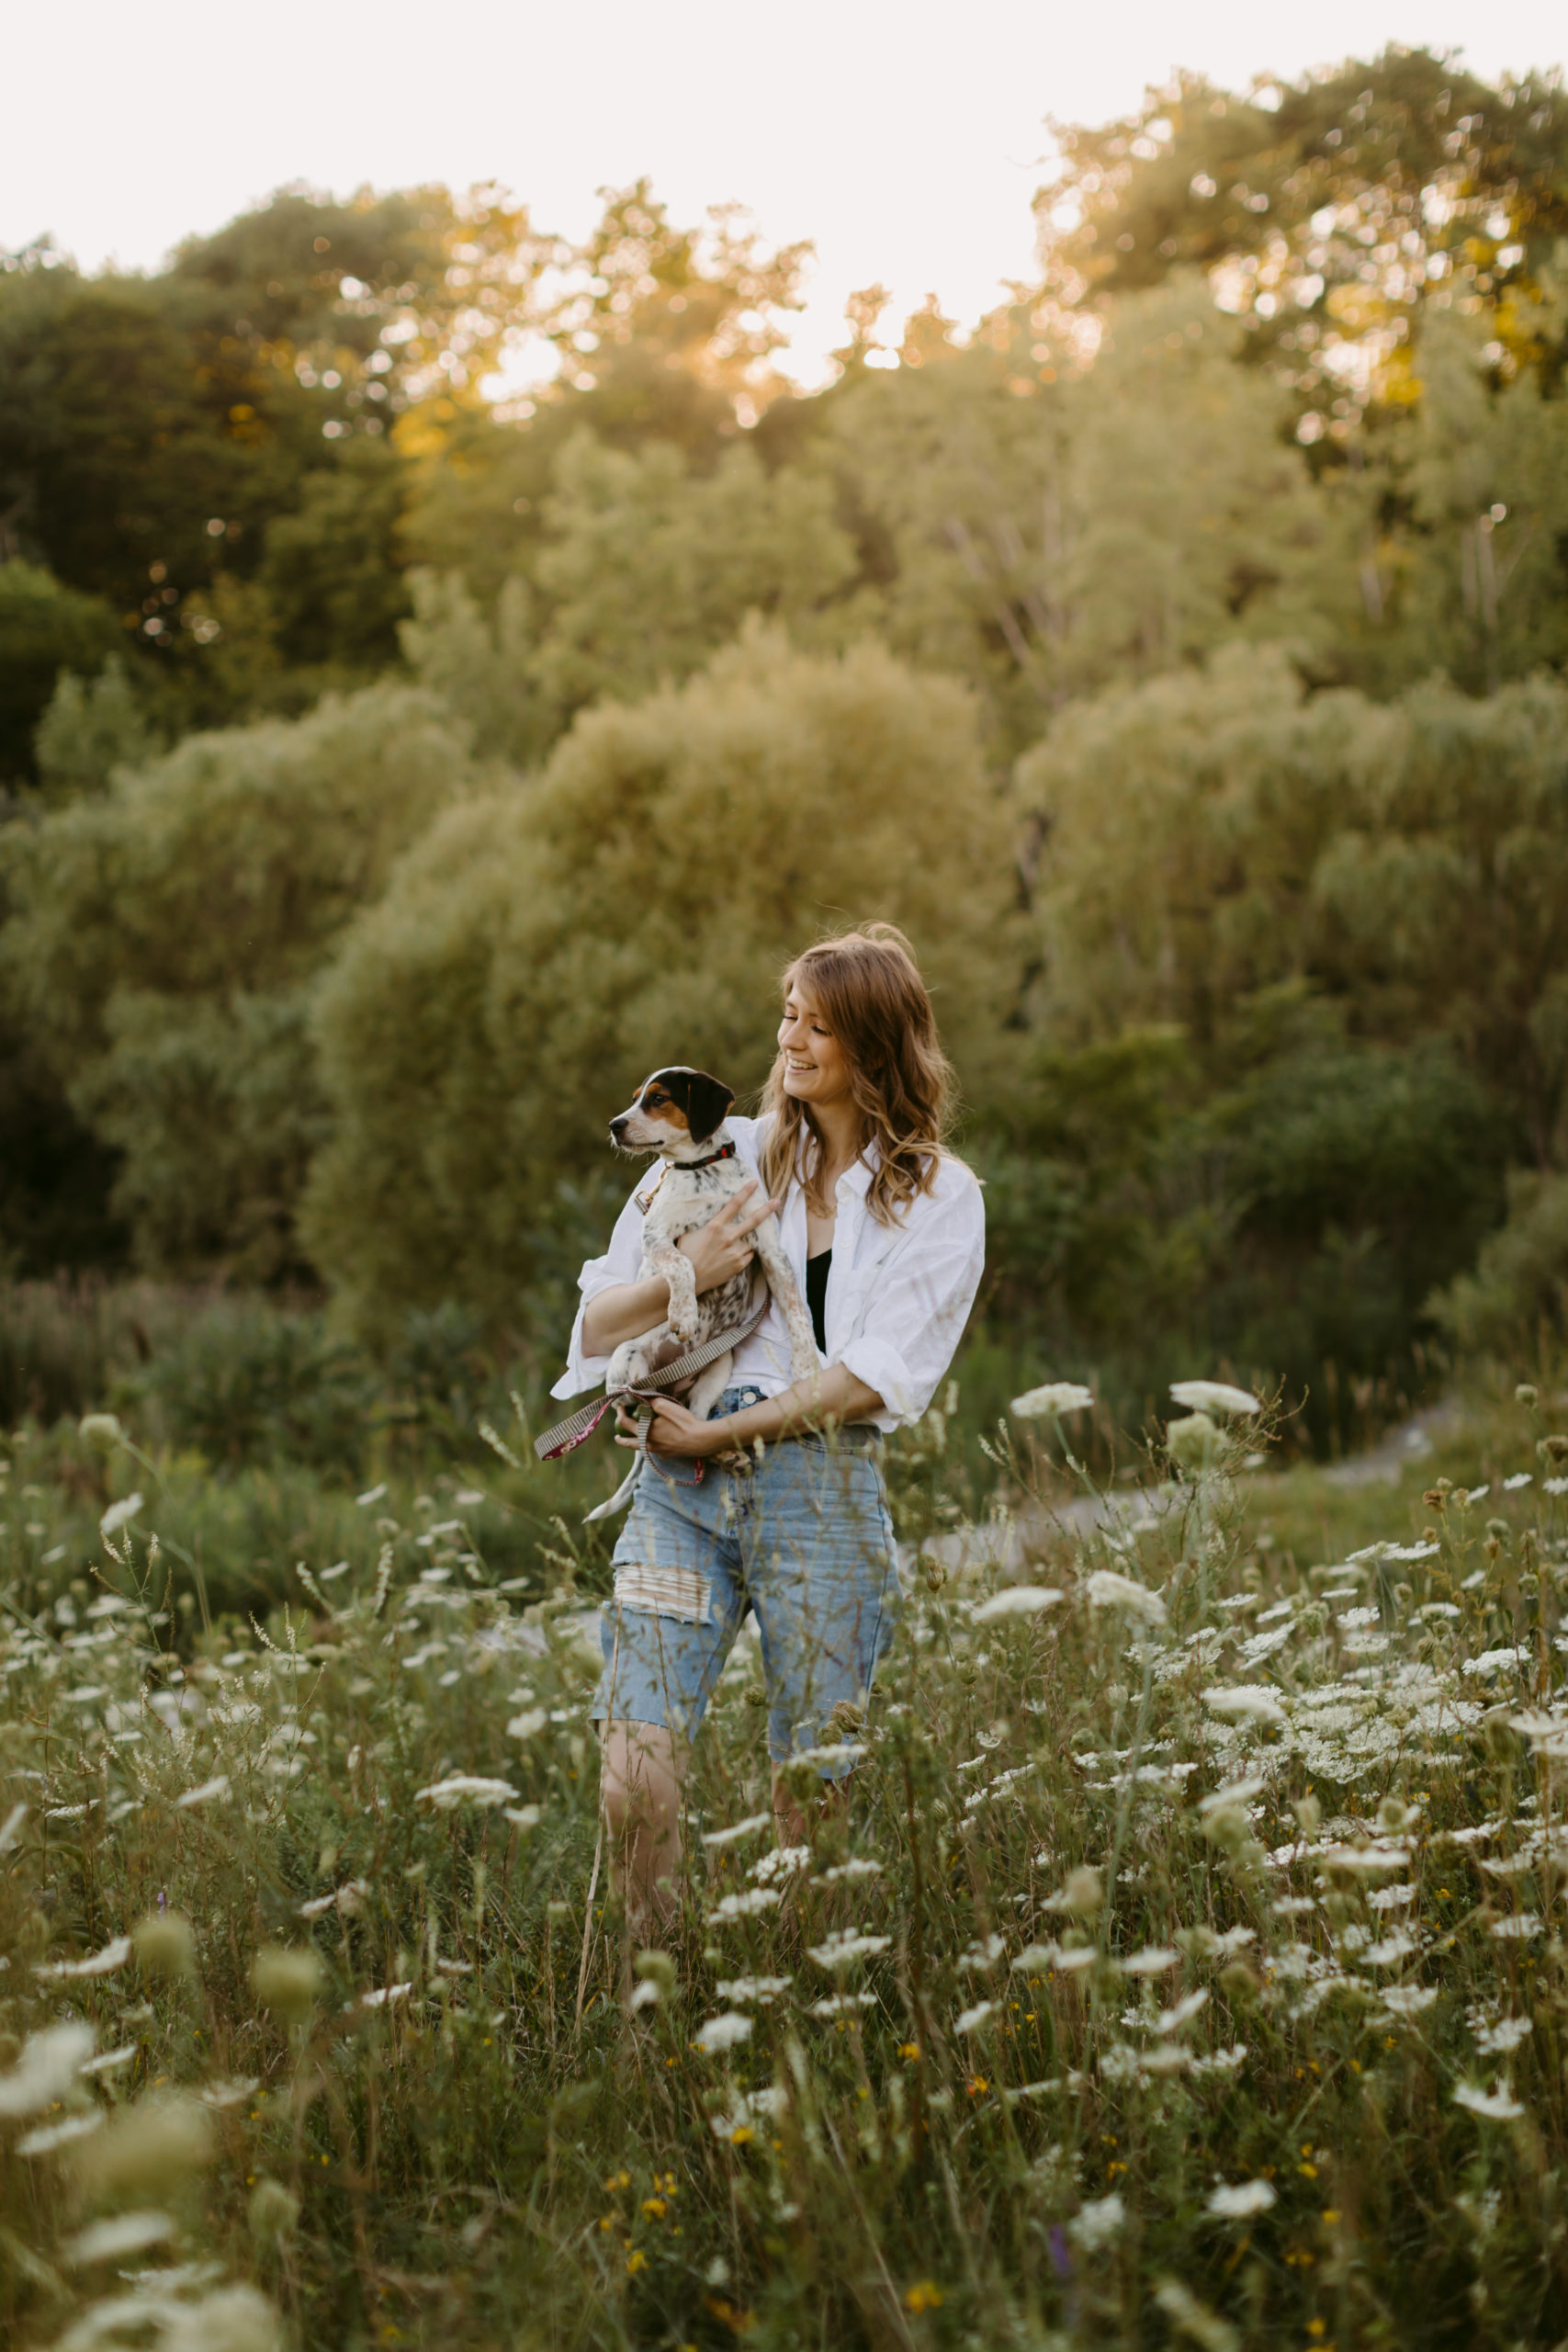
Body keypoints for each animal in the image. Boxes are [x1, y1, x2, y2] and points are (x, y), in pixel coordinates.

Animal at [582, 1068, 818, 1523]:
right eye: (635, 1099)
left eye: (657, 1099)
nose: (614, 1126)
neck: (702, 1171)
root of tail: (669, 1385)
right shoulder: (658, 1236)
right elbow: (683, 1266)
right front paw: (684, 1314)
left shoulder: (769, 1250)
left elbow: (797, 1310)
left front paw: (806, 1365)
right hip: (629, 1367)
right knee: (648, 1414)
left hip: (716, 1372)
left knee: (693, 1428)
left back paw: (727, 1455)